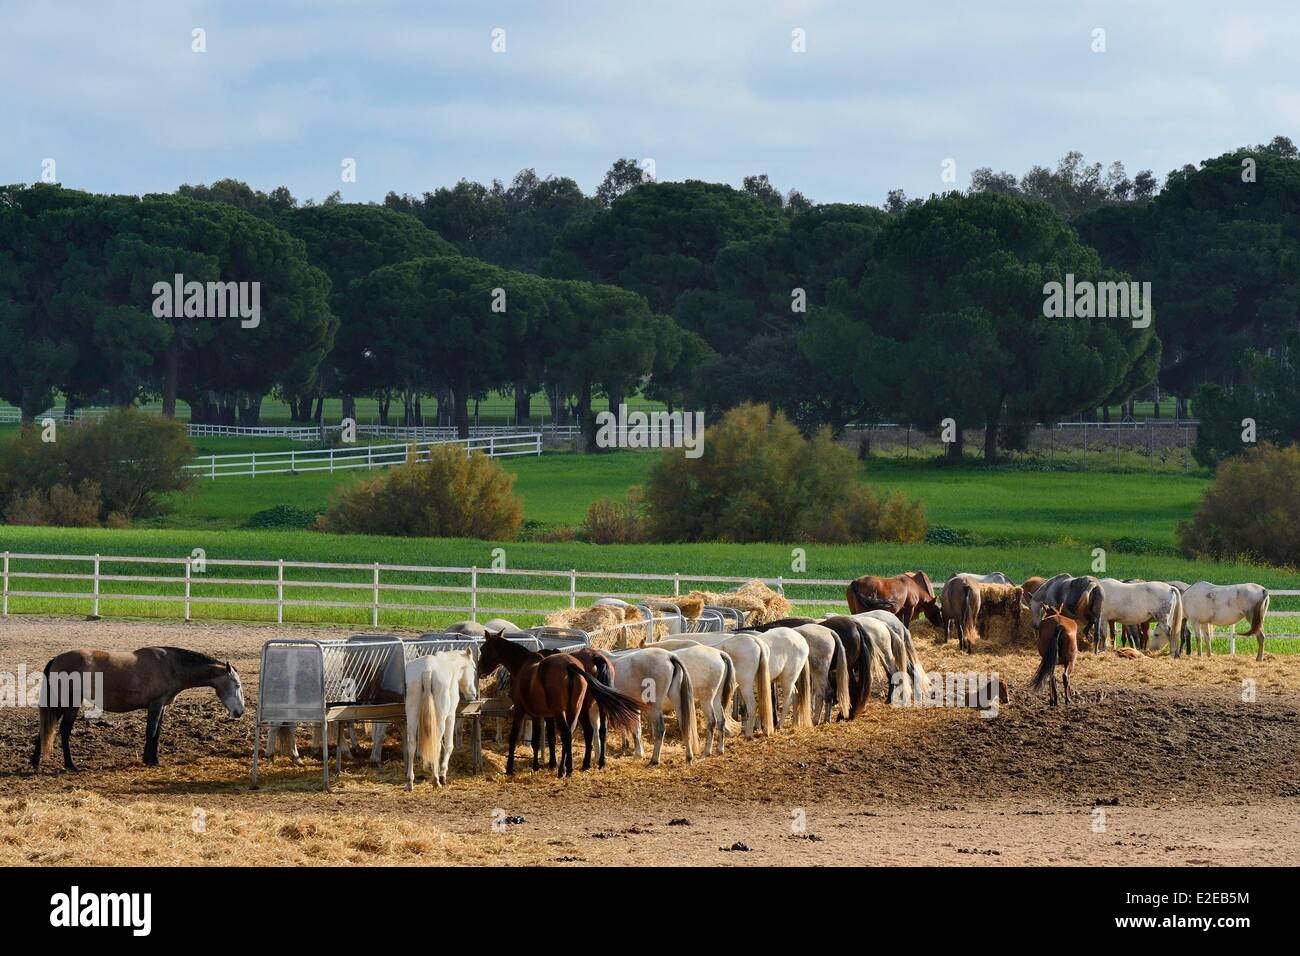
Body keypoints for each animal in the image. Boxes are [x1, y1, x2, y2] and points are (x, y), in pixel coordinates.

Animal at [32, 647, 245, 775]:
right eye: (236, 685)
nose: (240, 712)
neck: (171, 666)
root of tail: (56, 659)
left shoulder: (161, 707)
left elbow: (157, 733)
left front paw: (153, 759)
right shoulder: (156, 704)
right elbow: (151, 731)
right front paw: (149, 760)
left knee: (45, 729)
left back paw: (35, 763)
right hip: (69, 703)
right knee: (63, 731)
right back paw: (71, 765)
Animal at [403, 650, 480, 790]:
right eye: (474, 668)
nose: (473, 694)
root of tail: (427, 670)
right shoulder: (450, 716)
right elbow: (449, 745)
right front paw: (443, 774)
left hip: (412, 715)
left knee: (411, 744)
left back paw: (410, 782)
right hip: (440, 719)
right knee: (437, 744)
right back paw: (436, 780)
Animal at [478, 629, 639, 780]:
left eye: (483, 649)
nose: (479, 671)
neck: (523, 665)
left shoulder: (522, 710)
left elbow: (518, 737)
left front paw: (512, 768)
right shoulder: (540, 714)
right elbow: (542, 738)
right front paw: (544, 764)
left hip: (569, 710)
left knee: (570, 733)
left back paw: (566, 769)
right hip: (584, 708)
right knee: (594, 731)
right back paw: (592, 764)